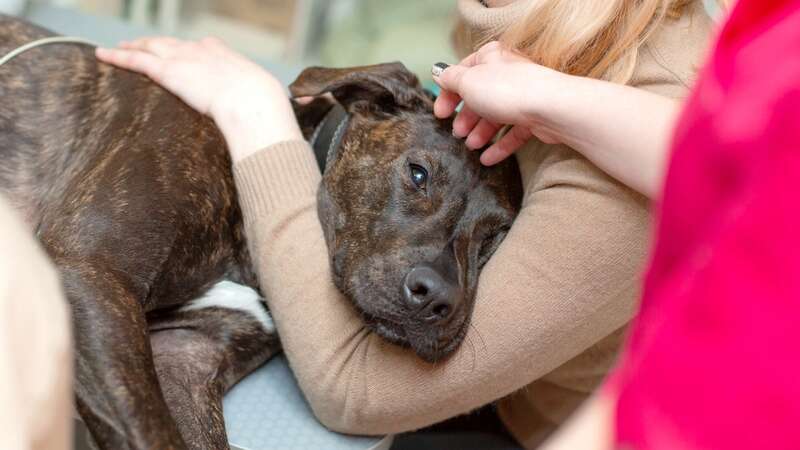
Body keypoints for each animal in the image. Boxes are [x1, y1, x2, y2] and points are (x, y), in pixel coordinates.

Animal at [0, 15, 520, 448]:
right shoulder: (89, 273)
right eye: (418, 174)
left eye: (494, 237)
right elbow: (153, 433)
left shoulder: (183, 359)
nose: (438, 300)